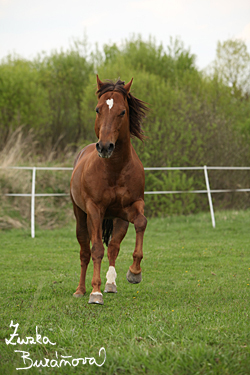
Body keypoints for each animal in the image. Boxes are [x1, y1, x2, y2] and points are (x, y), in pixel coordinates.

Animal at [70, 75, 148, 306]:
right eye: (98, 109)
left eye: (122, 112)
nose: (105, 147)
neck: (114, 169)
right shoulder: (95, 210)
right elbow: (96, 249)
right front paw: (95, 293)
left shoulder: (132, 206)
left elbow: (141, 223)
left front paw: (134, 273)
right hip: (81, 216)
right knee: (85, 251)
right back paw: (81, 289)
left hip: (118, 219)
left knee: (113, 247)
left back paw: (111, 284)